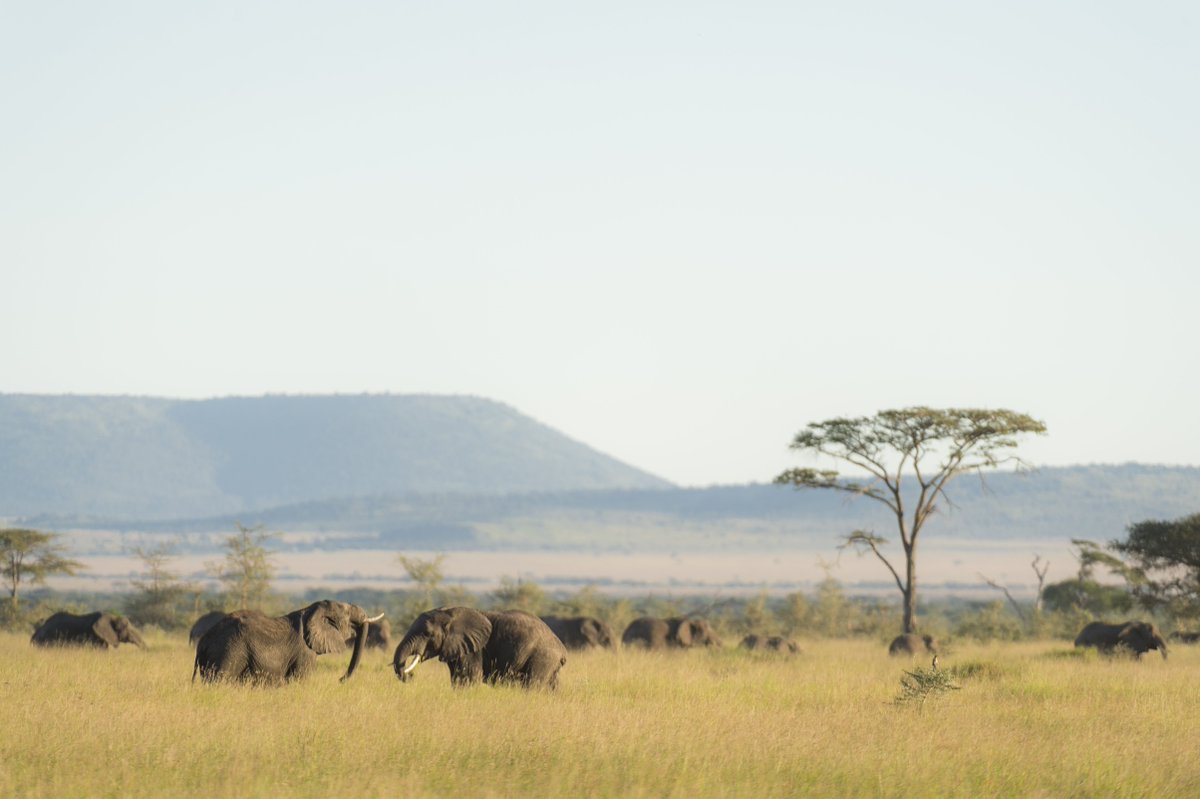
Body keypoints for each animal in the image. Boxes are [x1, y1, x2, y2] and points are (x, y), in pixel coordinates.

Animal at [193, 600, 384, 684]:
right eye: (346, 612)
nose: (340, 679)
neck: (311, 610)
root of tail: (203, 642)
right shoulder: (304, 651)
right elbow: (301, 680)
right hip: (229, 651)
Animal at [392, 607, 567, 689]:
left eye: (427, 633)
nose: (411, 675)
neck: (448, 612)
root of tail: (562, 650)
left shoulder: (474, 649)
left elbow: (468, 678)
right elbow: (457, 678)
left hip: (542, 657)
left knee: (532, 685)